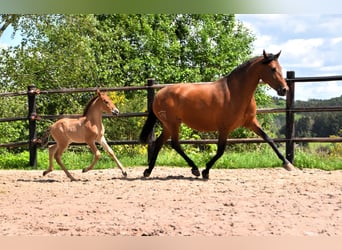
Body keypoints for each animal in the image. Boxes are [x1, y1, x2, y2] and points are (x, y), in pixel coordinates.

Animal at [140, 50, 296, 180]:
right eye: (273, 69)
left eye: (280, 68)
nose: (284, 89)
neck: (235, 92)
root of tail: (159, 94)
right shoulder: (224, 128)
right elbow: (221, 150)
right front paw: (206, 171)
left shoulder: (251, 122)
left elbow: (268, 139)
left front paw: (287, 164)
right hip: (172, 124)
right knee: (175, 144)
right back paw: (195, 169)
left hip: (169, 125)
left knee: (160, 142)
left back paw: (148, 171)